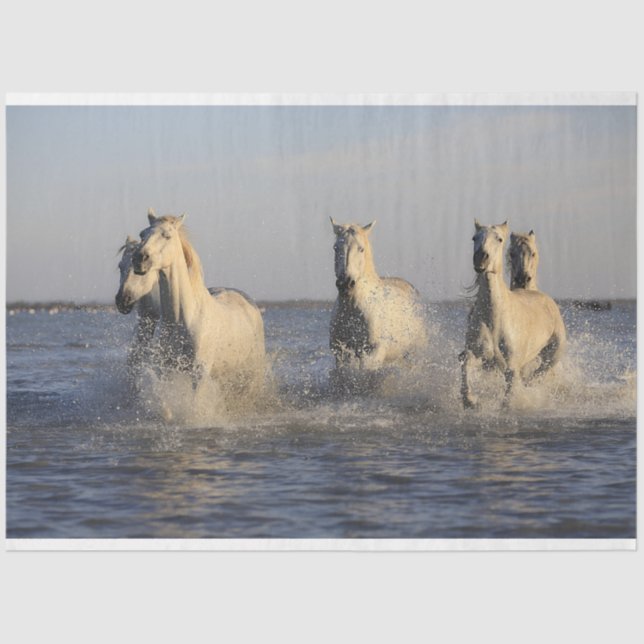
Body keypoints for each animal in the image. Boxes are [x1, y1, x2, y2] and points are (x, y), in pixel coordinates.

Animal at [129, 211, 266, 392]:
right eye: (142, 234)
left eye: (167, 235)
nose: (139, 258)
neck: (182, 318)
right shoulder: (166, 371)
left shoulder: (199, 374)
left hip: (253, 371)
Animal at [329, 218, 427, 389]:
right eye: (336, 248)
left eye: (361, 249)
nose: (345, 283)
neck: (353, 310)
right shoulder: (341, 352)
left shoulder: (372, 352)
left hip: (413, 354)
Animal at [459, 220, 566, 409]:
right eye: (474, 238)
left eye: (499, 239)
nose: (480, 258)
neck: (494, 318)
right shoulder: (478, 354)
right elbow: (466, 364)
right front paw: (470, 400)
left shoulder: (511, 366)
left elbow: (510, 393)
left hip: (552, 355)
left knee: (538, 374)